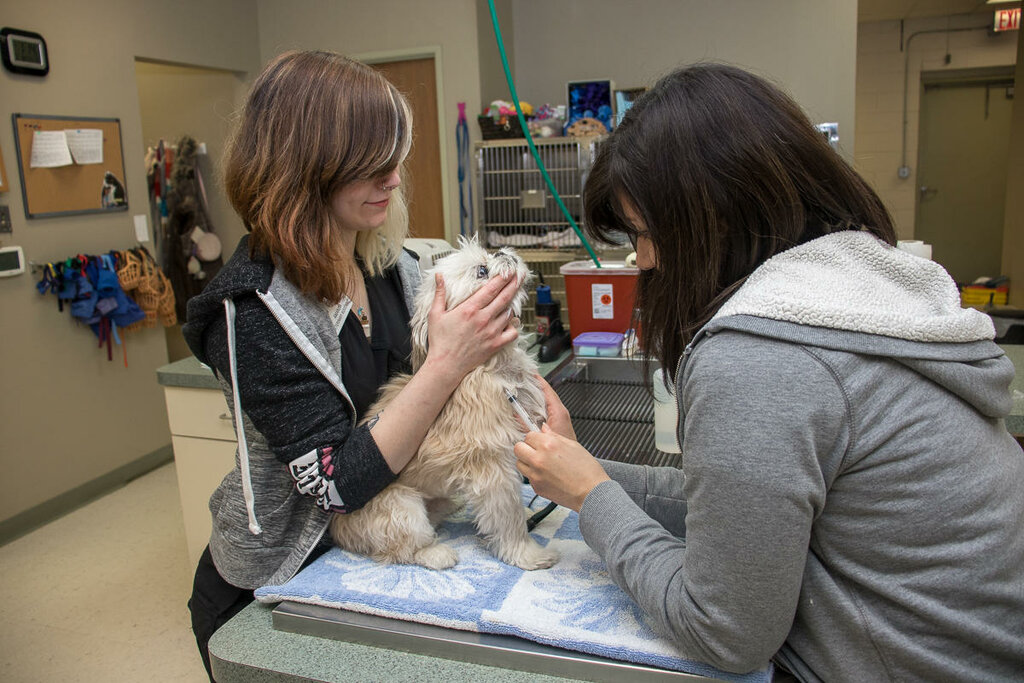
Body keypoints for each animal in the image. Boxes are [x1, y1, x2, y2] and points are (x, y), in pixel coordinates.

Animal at [329, 236, 561, 573]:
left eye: (489, 255)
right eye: (481, 270)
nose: (501, 252)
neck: (490, 365)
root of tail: (335, 526)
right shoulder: (495, 471)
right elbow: (509, 518)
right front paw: (527, 553)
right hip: (401, 509)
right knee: (403, 548)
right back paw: (436, 554)